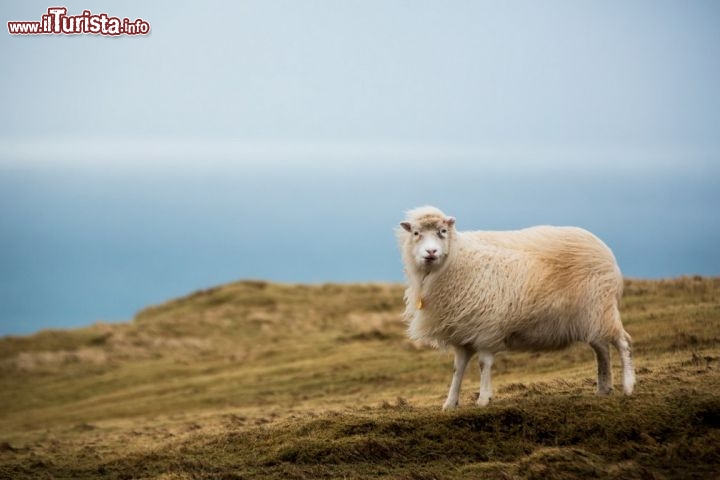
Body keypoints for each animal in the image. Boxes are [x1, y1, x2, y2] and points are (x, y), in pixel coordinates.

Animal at [400, 204, 636, 410]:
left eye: (442, 231)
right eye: (416, 233)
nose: (431, 252)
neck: (456, 260)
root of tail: (604, 249)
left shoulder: (487, 328)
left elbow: (484, 364)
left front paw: (484, 399)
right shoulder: (462, 334)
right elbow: (458, 369)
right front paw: (450, 403)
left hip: (602, 308)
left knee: (622, 343)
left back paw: (628, 386)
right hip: (591, 317)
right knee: (602, 350)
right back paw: (604, 388)